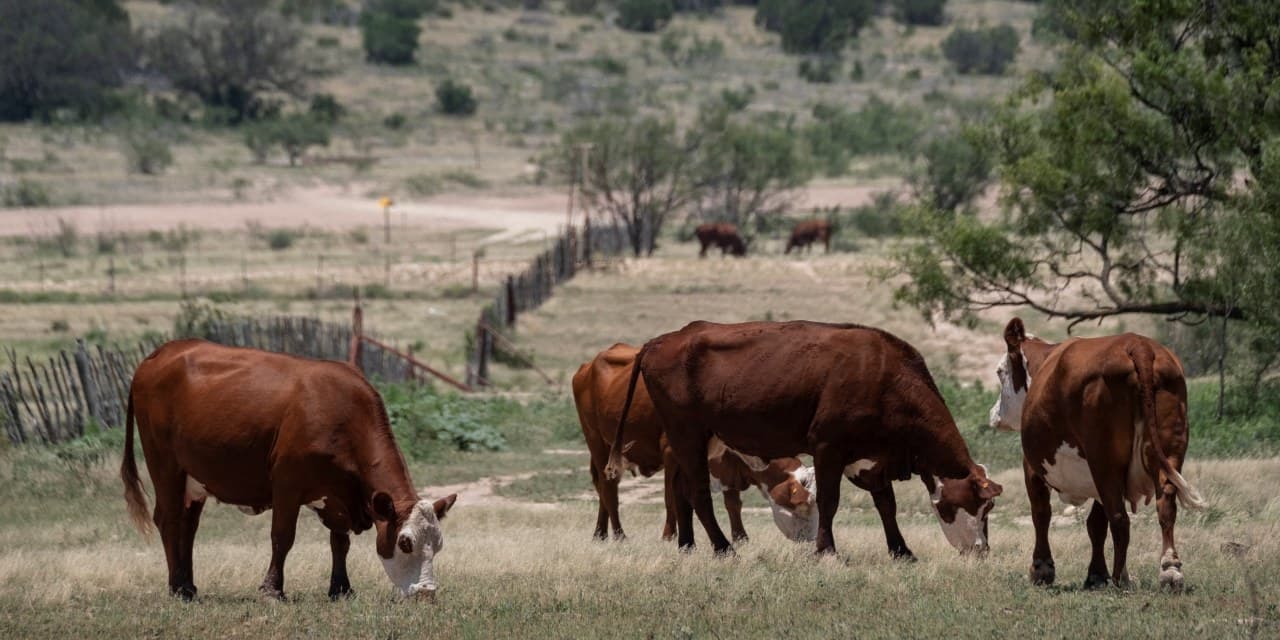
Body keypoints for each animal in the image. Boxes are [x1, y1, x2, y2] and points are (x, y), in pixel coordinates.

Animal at [120, 340, 457, 602]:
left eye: (438, 544)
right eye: (405, 542)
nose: (427, 593)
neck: (343, 415)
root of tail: (160, 354)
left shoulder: (337, 494)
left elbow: (340, 542)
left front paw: (341, 589)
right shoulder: (287, 484)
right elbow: (282, 537)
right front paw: (272, 590)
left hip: (195, 478)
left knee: (188, 526)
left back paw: (189, 586)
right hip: (165, 465)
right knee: (169, 520)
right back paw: (177, 587)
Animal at [573, 344, 817, 543]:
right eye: (804, 506)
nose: (812, 541)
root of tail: (589, 364)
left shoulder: (725, 464)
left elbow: (732, 503)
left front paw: (740, 537)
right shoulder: (673, 453)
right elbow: (671, 498)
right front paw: (669, 537)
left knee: (603, 489)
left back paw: (600, 534)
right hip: (596, 441)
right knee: (609, 490)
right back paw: (618, 535)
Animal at [605, 321, 1002, 558]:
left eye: (990, 509)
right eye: (979, 505)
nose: (982, 549)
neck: (885, 375)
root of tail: (661, 340)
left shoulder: (871, 458)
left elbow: (886, 504)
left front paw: (901, 551)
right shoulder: (828, 448)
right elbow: (829, 501)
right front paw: (826, 550)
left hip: (698, 439)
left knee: (682, 491)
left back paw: (687, 545)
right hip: (686, 433)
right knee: (699, 492)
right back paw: (722, 547)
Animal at [990, 318, 1206, 591]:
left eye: (1000, 372)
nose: (994, 413)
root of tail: (1138, 344)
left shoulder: (1032, 465)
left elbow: (1041, 514)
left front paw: (1042, 569)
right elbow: (1096, 523)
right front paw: (1096, 574)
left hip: (1104, 459)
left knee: (1120, 518)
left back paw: (1119, 579)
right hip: (1167, 453)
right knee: (1165, 506)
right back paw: (1169, 570)